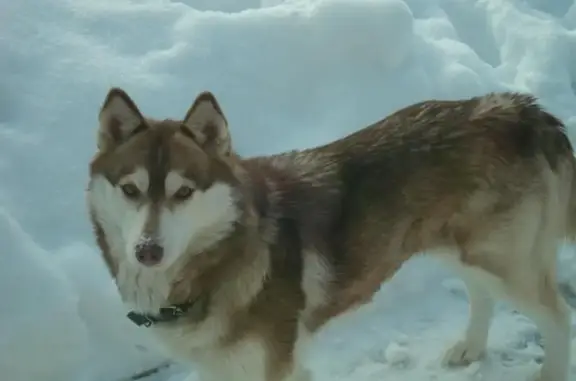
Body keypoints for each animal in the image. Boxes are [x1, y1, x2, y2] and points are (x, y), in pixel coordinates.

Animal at [86, 87, 576, 378]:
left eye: (184, 192)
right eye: (130, 190)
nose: (147, 251)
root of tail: (518, 107)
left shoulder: (276, 368)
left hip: (502, 261)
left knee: (558, 316)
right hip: (463, 250)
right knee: (481, 294)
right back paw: (469, 348)